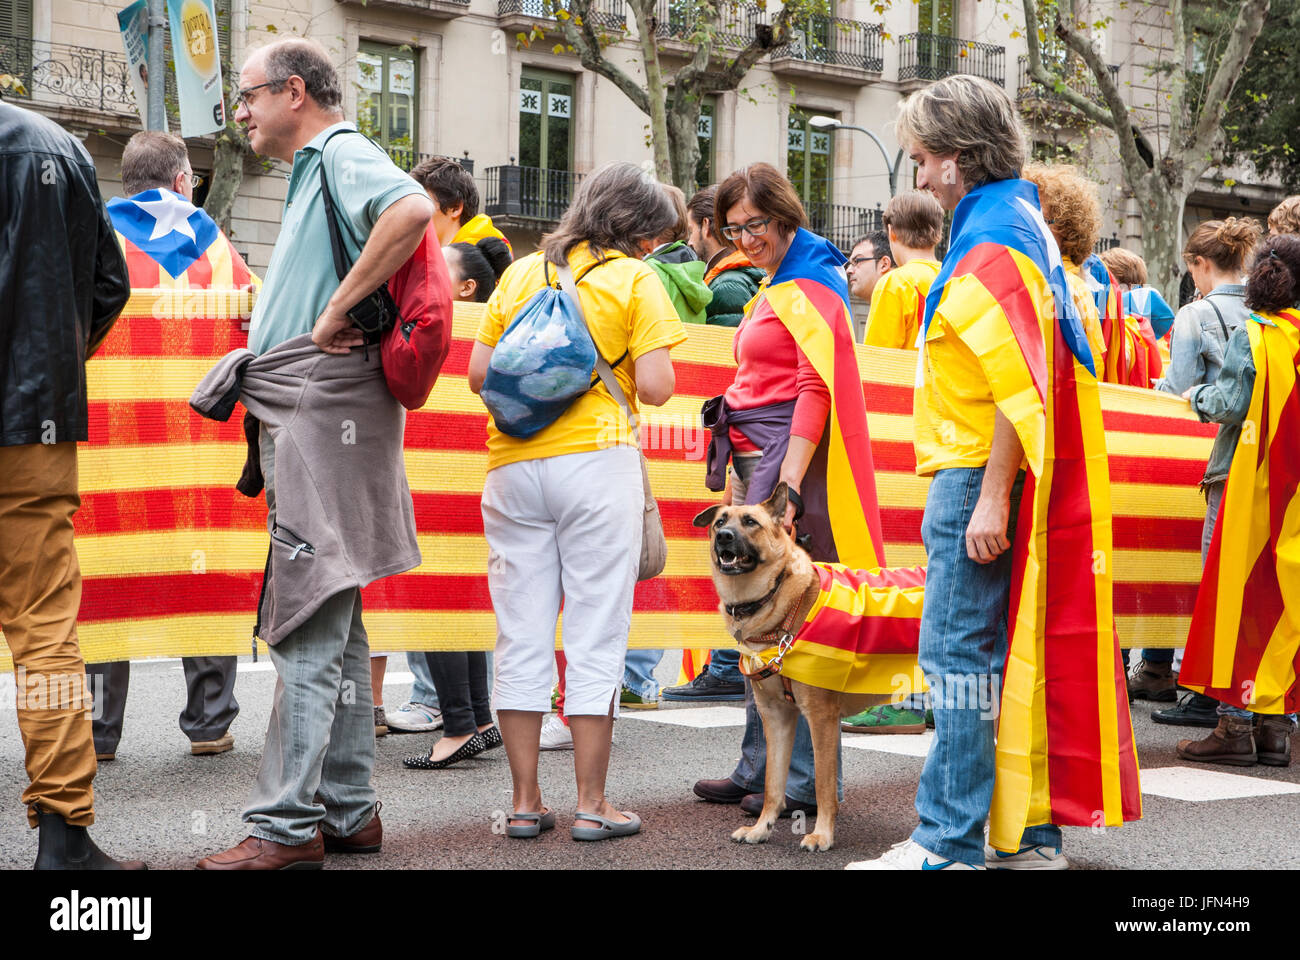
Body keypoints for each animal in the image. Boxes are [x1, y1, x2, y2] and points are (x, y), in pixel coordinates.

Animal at [691, 481, 894, 848]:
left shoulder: (821, 717)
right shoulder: (776, 716)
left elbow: (824, 785)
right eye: (720, 521)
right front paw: (761, 828)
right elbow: (772, 784)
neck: (779, 600)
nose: (724, 536)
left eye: (750, 522)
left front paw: (822, 834)